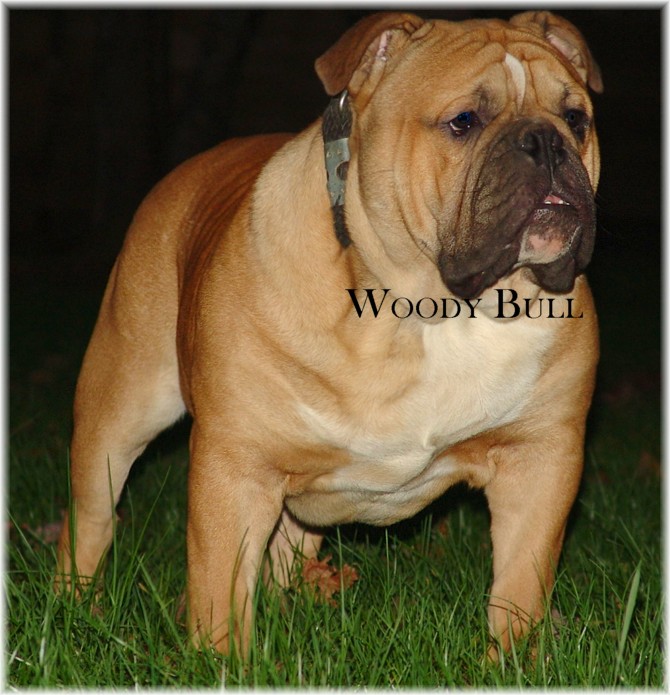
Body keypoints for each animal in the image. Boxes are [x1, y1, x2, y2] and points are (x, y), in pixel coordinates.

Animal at [57, 11, 602, 658]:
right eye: (464, 122)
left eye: (577, 118)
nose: (547, 142)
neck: (432, 312)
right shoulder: (235, 467)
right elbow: (219, 588)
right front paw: (223, 662)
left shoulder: (540, 457)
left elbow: (520, 581)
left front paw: (515, 658)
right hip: (120, 406)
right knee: (92, 518)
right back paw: (73, 609)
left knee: (286, 548)